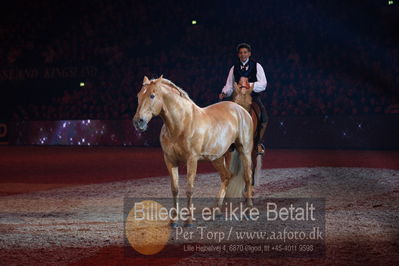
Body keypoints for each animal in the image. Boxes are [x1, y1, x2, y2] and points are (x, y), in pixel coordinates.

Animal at [134, 76, 253, 225]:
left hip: (245, 151)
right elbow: (175, 189)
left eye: (152, 95)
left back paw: (248, 211)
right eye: (139, 95)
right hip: (218, 157)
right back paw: (216, 210)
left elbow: (189, 189)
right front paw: (174, 220)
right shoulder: (170, 160)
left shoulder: (192, 159)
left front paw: (188, 220)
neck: (181, 124)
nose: (138, 122)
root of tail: (241, 110)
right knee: (226, 176)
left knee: (247, 177)